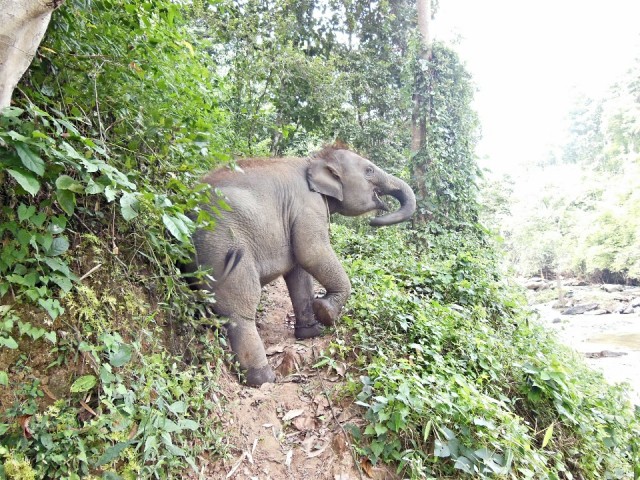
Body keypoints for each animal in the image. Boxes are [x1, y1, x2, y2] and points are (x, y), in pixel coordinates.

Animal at [184, 145, 416, 386]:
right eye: (369, 170)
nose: (373, 221)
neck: (313, 160)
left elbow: (299, 272)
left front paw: (310, 333)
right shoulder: (308, 206)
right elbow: (312, 253)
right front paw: (325, 311)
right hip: (219, 244)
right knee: (240, 308)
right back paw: (263, 378)